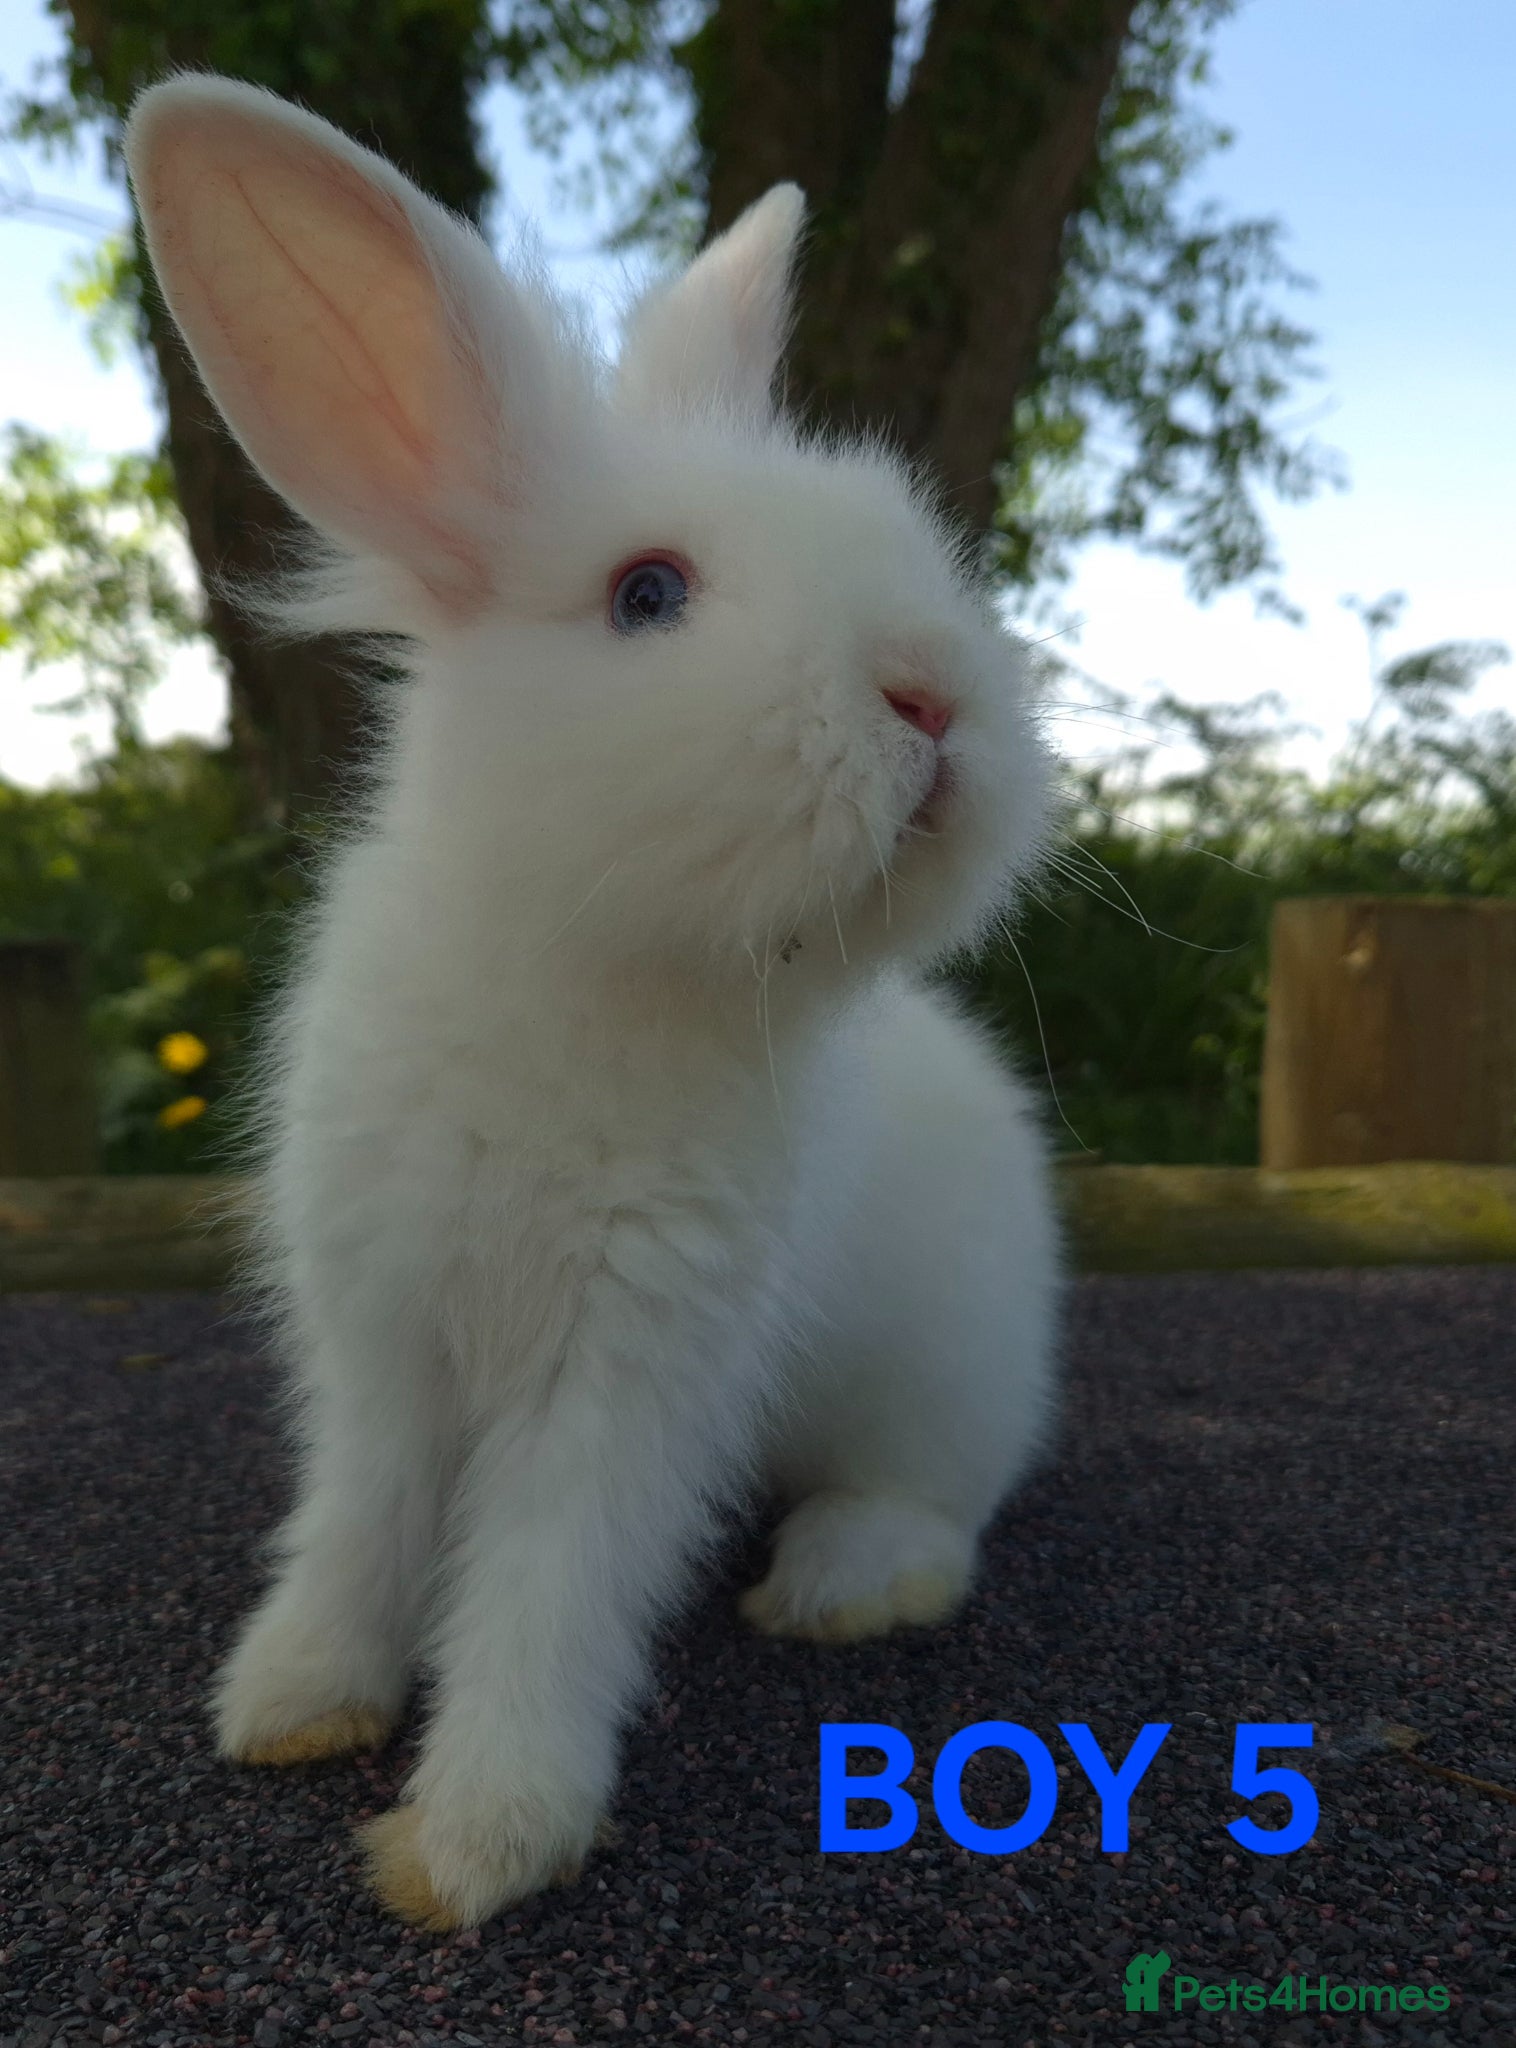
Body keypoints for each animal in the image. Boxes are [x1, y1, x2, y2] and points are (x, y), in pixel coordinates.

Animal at [124, 74, 1062, 1932]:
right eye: (647, 595)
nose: (934, 696)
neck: (576, 961)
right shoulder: (377, 1330)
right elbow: (357, 1522)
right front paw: (290, 1700)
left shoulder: (631, 1359)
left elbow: (547, 1583)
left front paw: (478, 1841)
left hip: (935, 1373)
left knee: (933, 1503)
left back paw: (840, 1582)